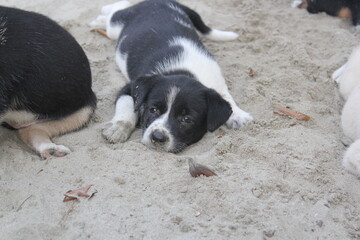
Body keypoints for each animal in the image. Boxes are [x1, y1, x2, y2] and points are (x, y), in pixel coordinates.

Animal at [90, 0, 253, 153]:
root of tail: (163, 1)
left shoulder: (215, 79)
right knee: (117, 10)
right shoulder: (130, 87)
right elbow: (128, 105)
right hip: (115, 28)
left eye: (187, 119)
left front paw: (238, 116)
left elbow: (226, 96)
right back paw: (100, 18)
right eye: (153, 110)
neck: (184, 72)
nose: (157, 137)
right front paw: (118, 129)